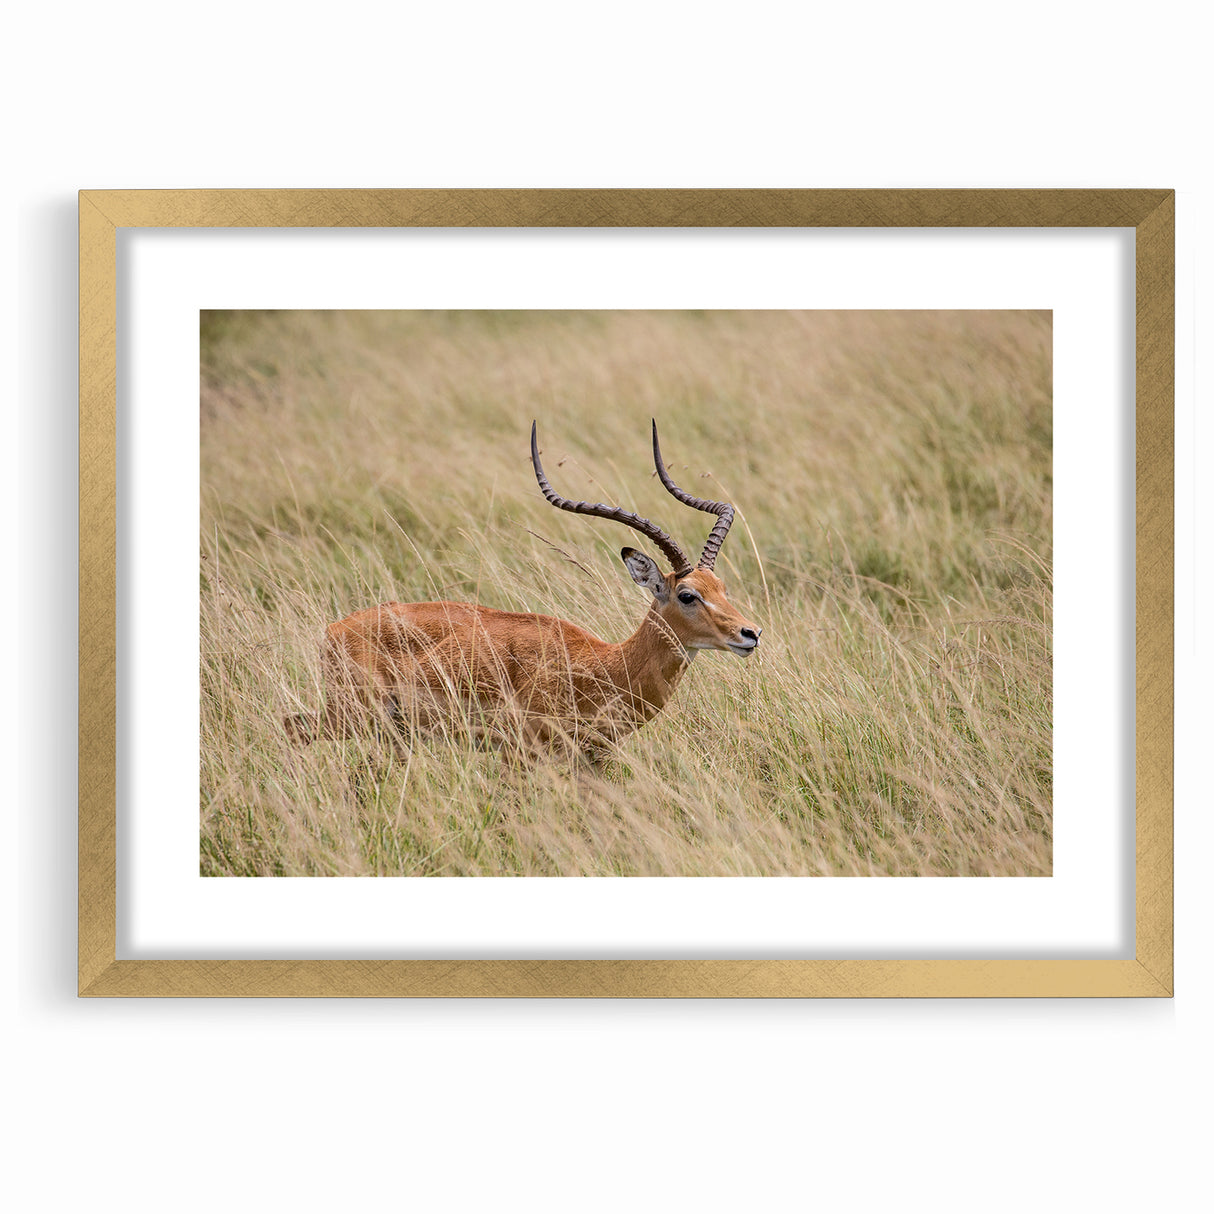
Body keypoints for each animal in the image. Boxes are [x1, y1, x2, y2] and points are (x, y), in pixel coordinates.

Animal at [284, 421, 762, 760]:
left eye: (721, 586)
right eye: (687, 595)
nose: (750, 634)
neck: (604, 666)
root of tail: (335, 629)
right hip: (354, 715)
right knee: (291, 728)